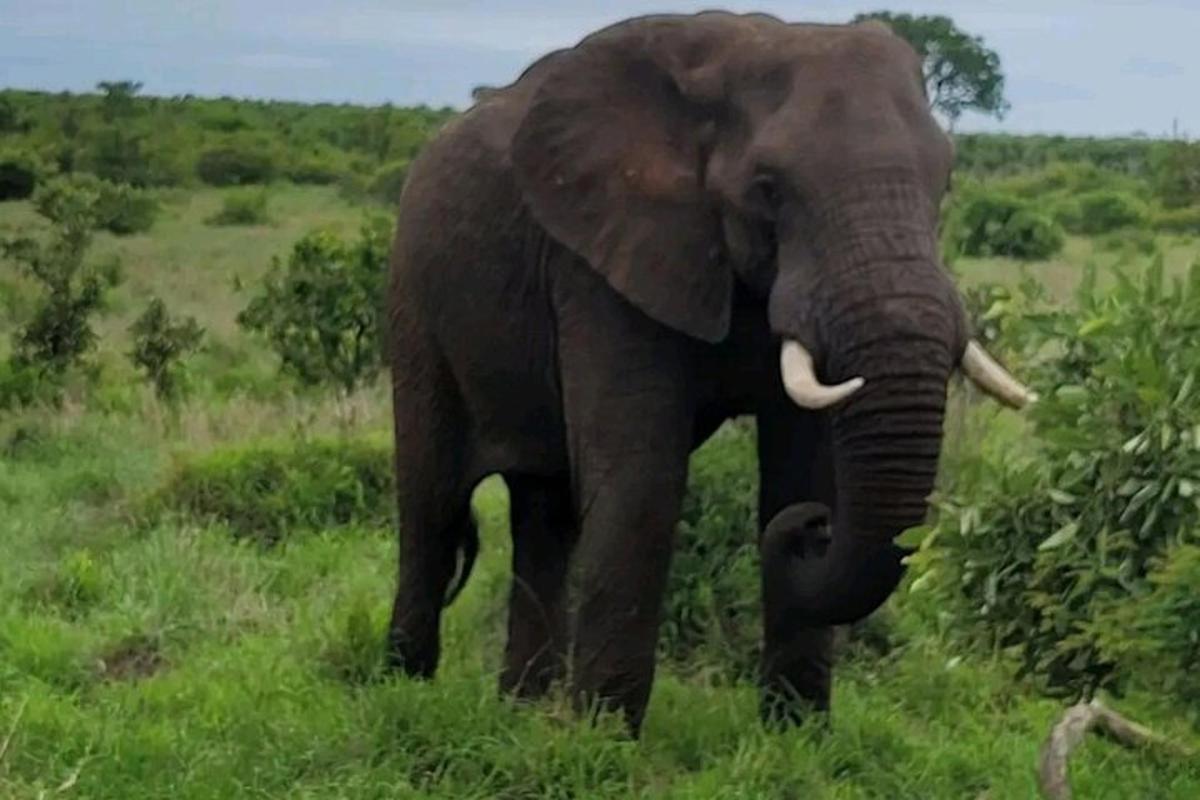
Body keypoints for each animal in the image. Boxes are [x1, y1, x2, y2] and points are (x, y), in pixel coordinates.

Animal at [384, 10, 1032, 738]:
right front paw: (603, 740)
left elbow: (801, 468)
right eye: (769, 188)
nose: (815, 530)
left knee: (544, 513)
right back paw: (403, 691)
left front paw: (796, 738)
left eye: (944, 183)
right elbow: (641, 480)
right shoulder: (600, 260)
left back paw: (519, 712)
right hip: (414, 299)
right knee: (432, 504)